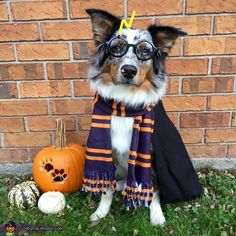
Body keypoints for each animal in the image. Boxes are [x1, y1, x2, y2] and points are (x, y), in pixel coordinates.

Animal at [85, 8, 187, 225]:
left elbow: (153, 190)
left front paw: (156, 216)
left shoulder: (152, 158)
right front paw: (101, 212)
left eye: (145, 51)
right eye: (116, 48)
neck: (126, 104)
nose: (129, 71)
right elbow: (106, 190)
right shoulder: (109, 152)